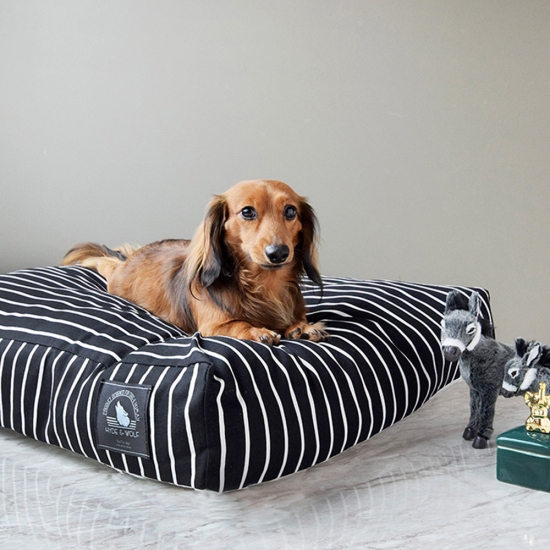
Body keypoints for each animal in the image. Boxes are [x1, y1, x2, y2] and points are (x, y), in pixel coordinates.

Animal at [61, 180, 328, 344]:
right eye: (247, 211)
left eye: (290, 211)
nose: (279, 253)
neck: (265, 286)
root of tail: (136, 256)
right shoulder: (212, 326)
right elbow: (237, 324)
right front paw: (256, 330)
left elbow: (298, 321)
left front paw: (302, 327)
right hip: (116, 279)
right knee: (106, 261)